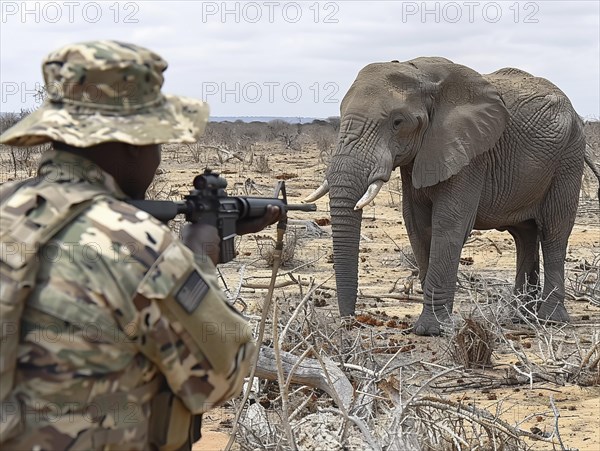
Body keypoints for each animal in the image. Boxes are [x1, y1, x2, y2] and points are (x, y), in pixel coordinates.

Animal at [310, 57, 596, 336]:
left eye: (397, 122)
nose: (350, 322)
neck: (420, 73)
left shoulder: (470, 154)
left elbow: (449, 224)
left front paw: (431, 330)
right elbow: (417, 225)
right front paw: (436, 326)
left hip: (569, 156)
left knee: (554, 230)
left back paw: (550, 320)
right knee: (525, 235)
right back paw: (521, 317)